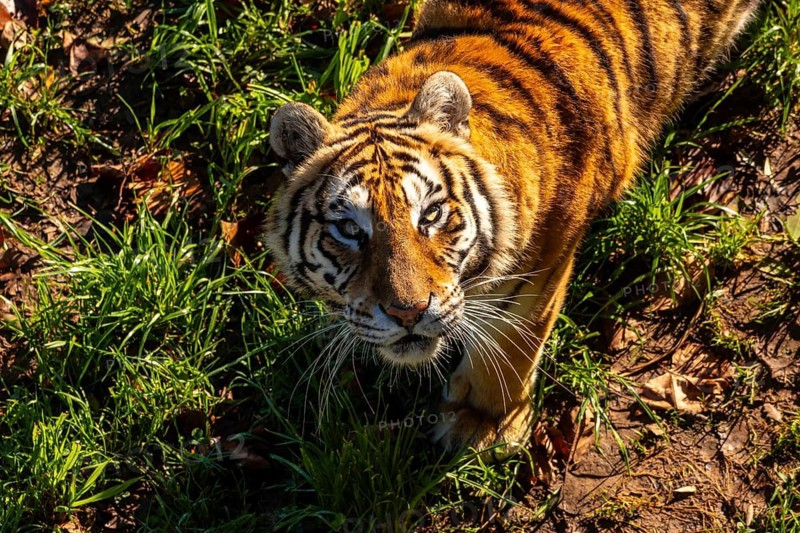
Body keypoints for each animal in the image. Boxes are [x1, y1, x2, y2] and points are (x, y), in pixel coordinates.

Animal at [265, 0, 761, 458]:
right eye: (349, 229)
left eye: (431, 215)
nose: (408, 313)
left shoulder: (544, 266)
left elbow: (512, 344)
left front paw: (484, 423)